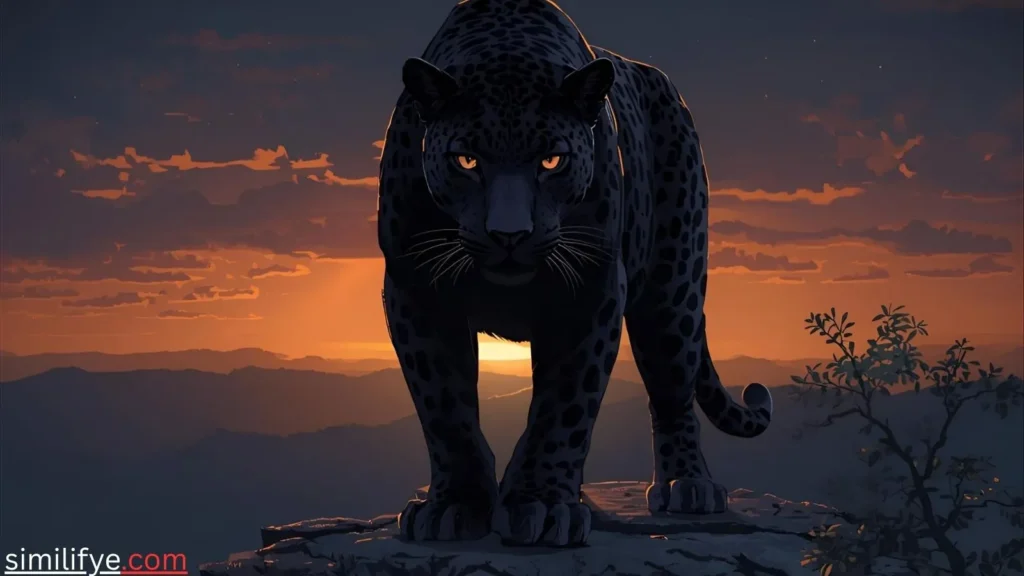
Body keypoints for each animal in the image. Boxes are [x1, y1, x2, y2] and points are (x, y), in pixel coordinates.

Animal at [376, 0, 774, 547]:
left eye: (552, 160)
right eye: (466, 159)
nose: (509, 235)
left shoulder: (591, 289)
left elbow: (565, 405)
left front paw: (541, 506)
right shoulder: (415, 289)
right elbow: (445, 407)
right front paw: (453, 505)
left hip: (674, 291)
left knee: (672, 388)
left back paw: (688, 485)